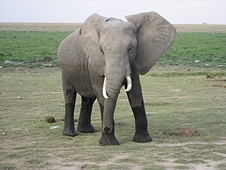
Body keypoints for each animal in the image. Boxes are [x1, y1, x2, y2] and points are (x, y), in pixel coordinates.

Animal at [57, 11, 176, 145]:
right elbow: (102, 94)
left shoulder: (133, 62)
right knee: (70, 94)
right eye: (101, 50)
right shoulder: (95, 62)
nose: (106, 129)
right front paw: (108, 143)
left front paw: (143, 140)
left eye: (130, 49)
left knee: (88, 99)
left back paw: (87, 131)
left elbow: (135, 93)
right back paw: (70, 134)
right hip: (65, 69)